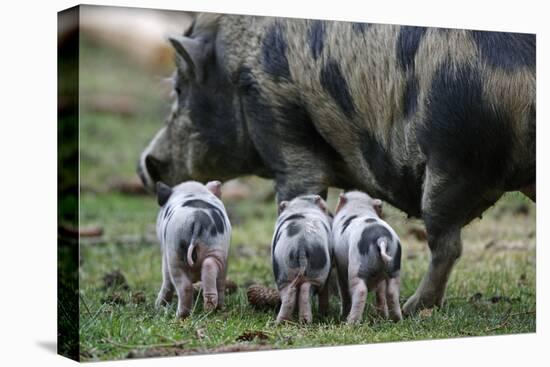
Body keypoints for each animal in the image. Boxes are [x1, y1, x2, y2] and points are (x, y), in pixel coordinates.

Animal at [154, 181, 232, 320]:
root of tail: (197, 219)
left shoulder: (165, 254)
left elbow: (166, 279)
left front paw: (158, 306)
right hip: (218, 247)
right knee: (211, 268)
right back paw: (212, 307)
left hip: (174, 252)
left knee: (184, 286)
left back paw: (180, 316)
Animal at [272, 196, 332, 324]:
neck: (302, 205)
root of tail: (302, 245)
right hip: (317, 273)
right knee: (305, 291)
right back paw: (305, 322)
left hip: (283, 272)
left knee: (291, 292)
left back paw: (281, 322)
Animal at [334, 193, 404, 324]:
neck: (358, 206)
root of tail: (381, 239)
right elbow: (380, 292)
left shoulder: (339, 266)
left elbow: (343, 290)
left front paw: (342, 314)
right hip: (394, 266)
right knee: (392, 292)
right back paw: (395, 320)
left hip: (357, 266)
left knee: (360, 291)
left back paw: (350, 323)